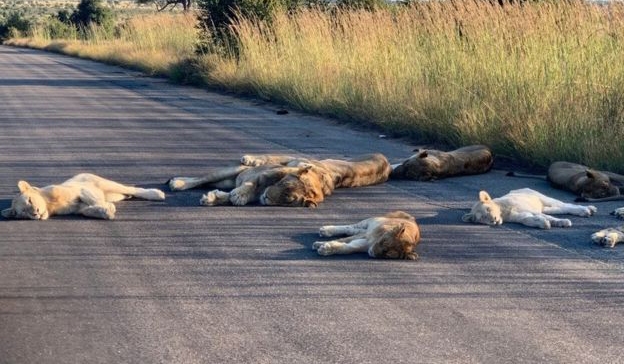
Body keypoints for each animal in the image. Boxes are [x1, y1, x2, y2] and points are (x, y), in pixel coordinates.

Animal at [0, 173, 166, 219]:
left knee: (132, 189)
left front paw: (106, 207)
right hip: (114, 194)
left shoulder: (79, 189)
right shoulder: (77, 209)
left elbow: (90, 198)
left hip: (105, 183)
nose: (35, 213)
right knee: (124, 194)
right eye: (23, 212)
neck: (50, 206)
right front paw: (106, 211)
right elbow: (86, 211)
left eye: (29, 200)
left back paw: (157, 194)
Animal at [460, 189, 596, 229]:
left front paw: (563, 222)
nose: (493, 220)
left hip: (542, 197)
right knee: (560, 209)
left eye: (488, 209)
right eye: (482, 218)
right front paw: (543, 223)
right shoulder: (521, 216)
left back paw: (587, 210)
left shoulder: (527, 209)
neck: (504, 212)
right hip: (545, 207)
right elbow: (528, 220)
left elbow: (549, 217)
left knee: (565, 205)